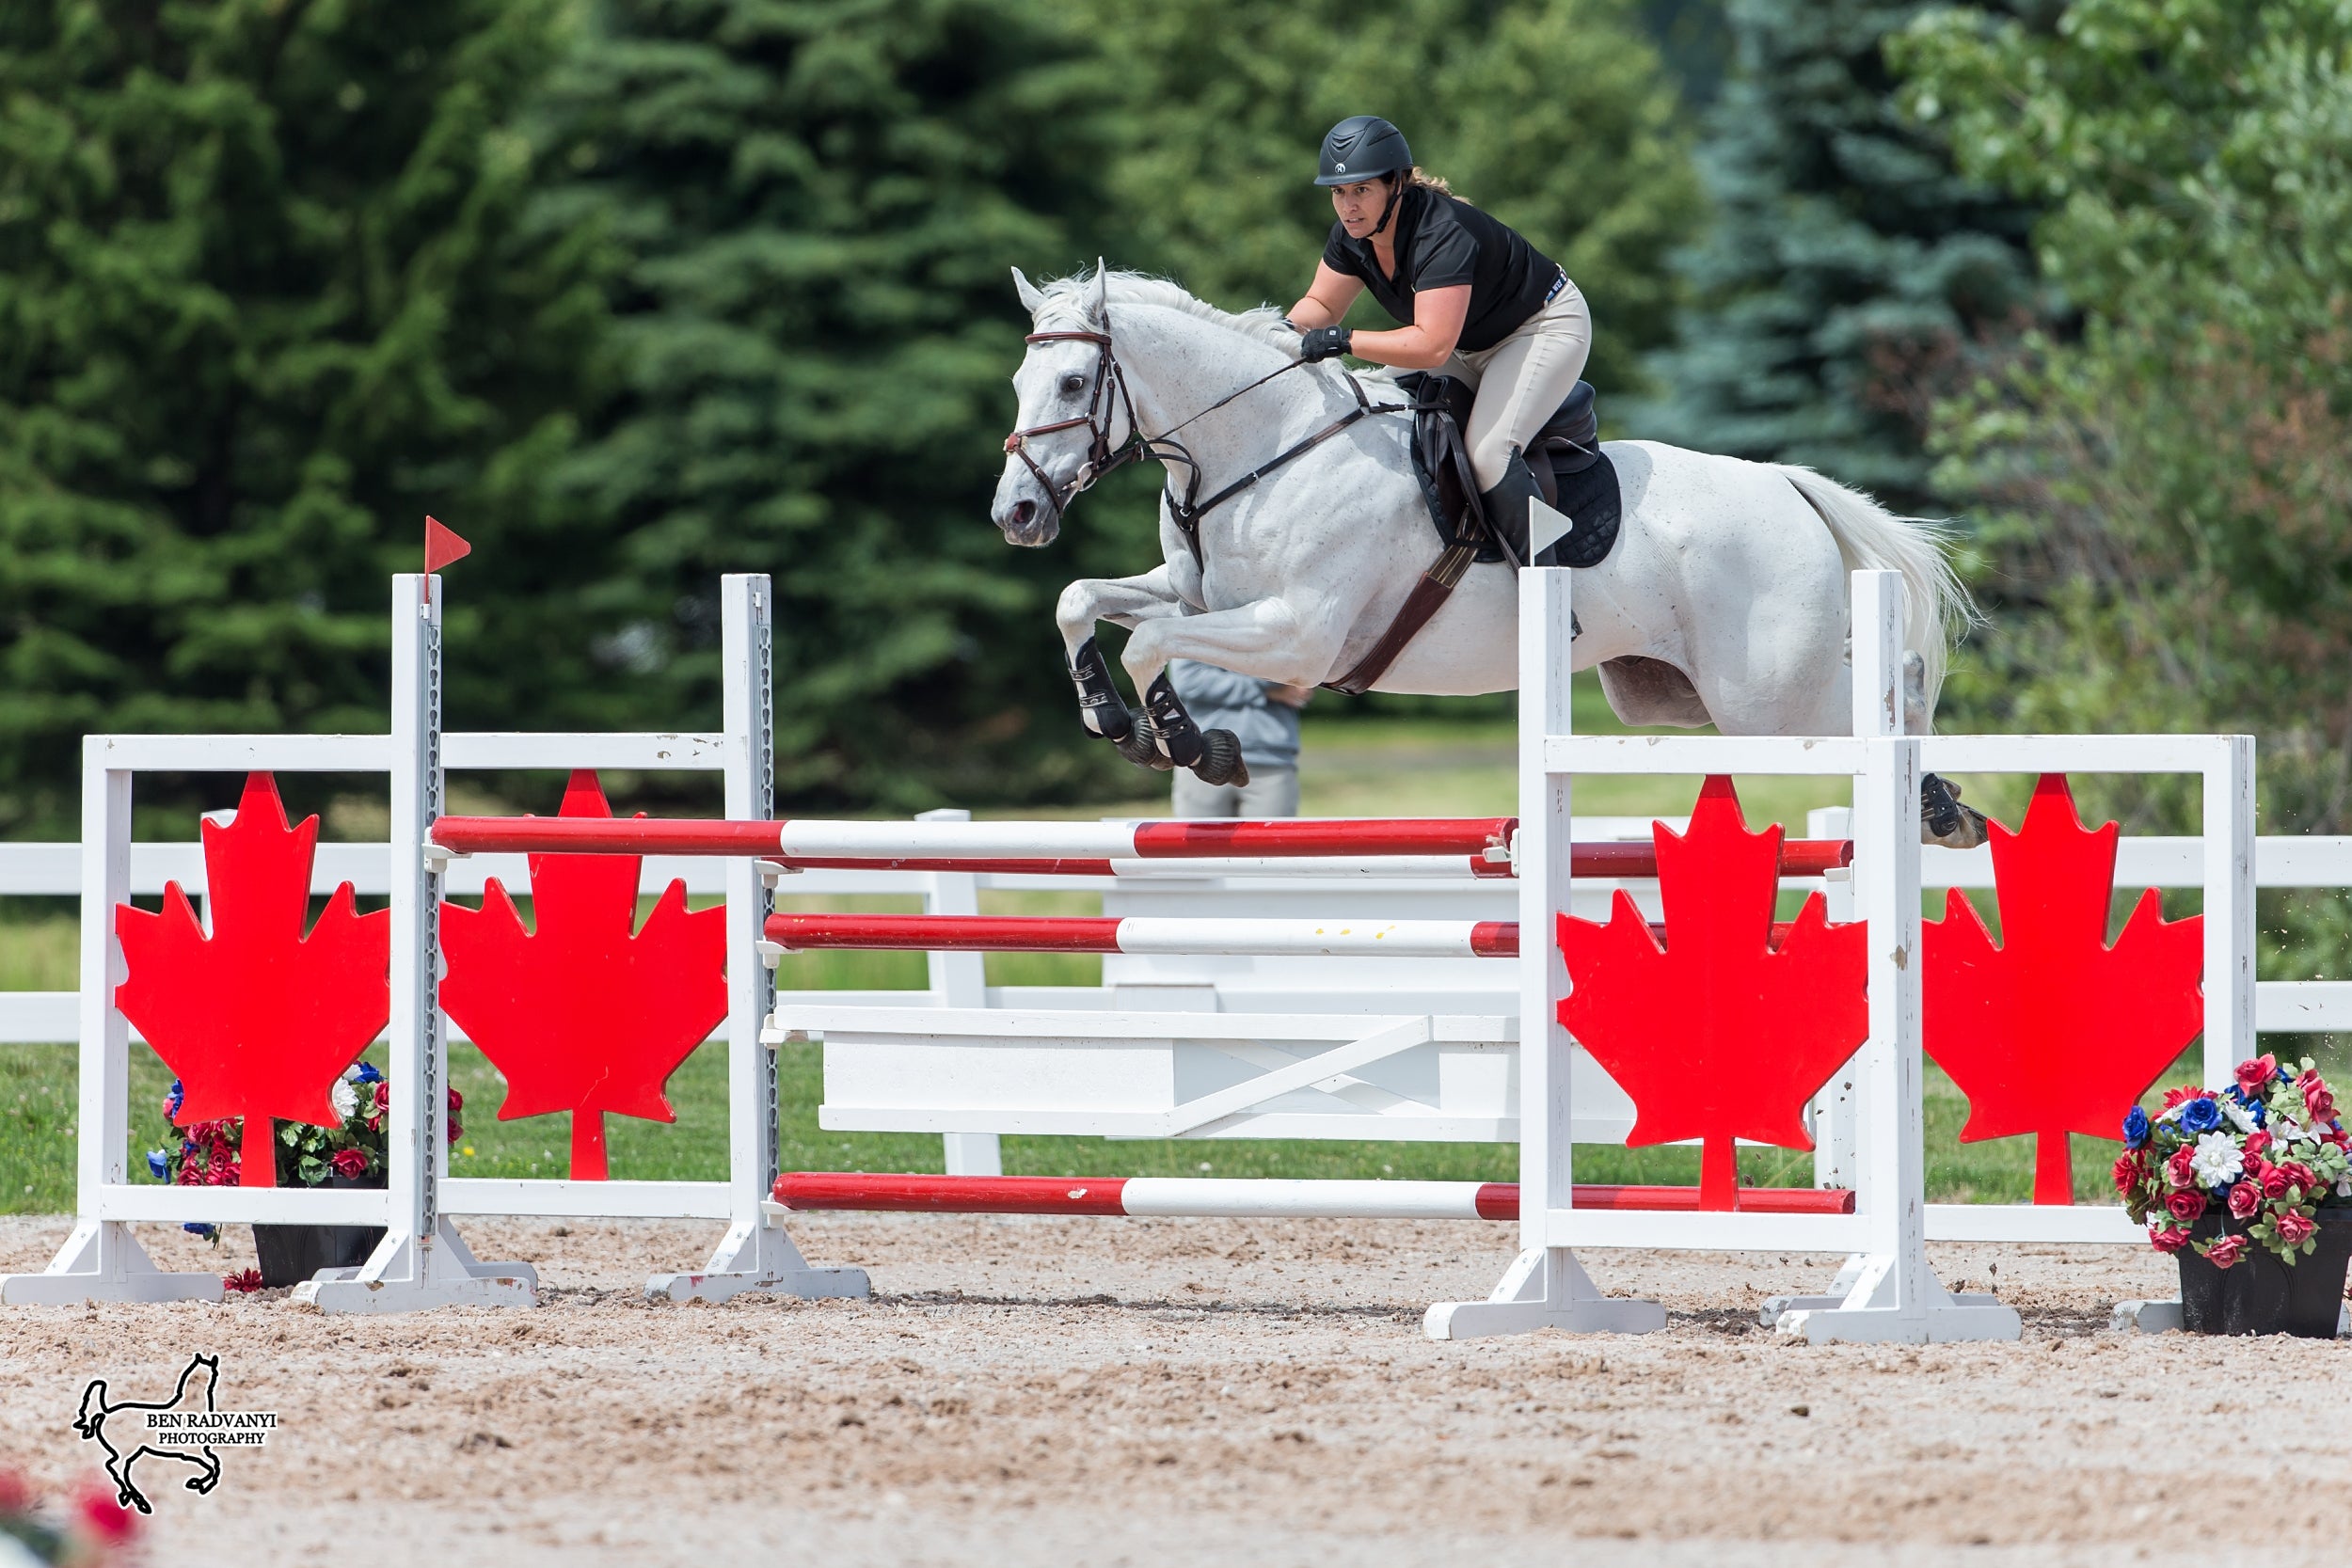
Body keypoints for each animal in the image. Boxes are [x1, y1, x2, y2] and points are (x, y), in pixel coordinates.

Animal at [989, 266, 1987, 846]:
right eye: (1019, 381)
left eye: (1073, 382)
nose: (1017, 513)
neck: (1262, 445)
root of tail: (1787, 484)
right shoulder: (1199, 597)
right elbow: (1083, 601)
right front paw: (1115, 722)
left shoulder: (1297, 636)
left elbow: (1150, 644)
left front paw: (1194, 745)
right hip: (1674, 691)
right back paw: (1942, 805)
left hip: (1766, 699)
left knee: (1884, 697)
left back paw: (1938, 804)